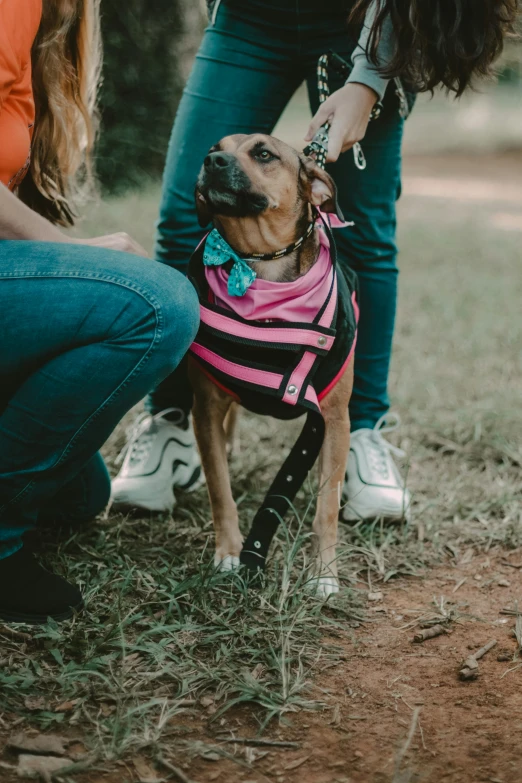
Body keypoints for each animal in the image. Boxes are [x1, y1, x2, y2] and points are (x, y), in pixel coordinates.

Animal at [187, 136, 354, 600]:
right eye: (215, 146)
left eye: (263, 153)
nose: (211, 160)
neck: (259, 263)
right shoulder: (205, 408)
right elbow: (220, 488)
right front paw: (230, 553)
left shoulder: (334, 420)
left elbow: (326, 506)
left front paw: (323, 573)